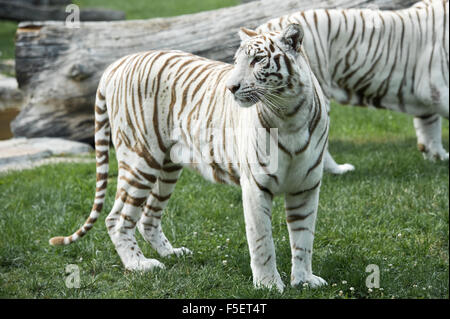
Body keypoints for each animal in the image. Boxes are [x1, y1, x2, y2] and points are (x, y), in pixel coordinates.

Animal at [50, 23, 330, 292]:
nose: (230, 88)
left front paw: (304, 280)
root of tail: (116, 64)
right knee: (116, 219)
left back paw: (172, 253)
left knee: (148, 216)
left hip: (166, 166)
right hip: (140, 160)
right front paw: (268, 284)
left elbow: (304, 238)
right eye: (237, 60)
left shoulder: (306, 186)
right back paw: (139, 264)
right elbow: (262, 241)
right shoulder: (255, 186)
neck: (289, 115)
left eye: (258, 60)